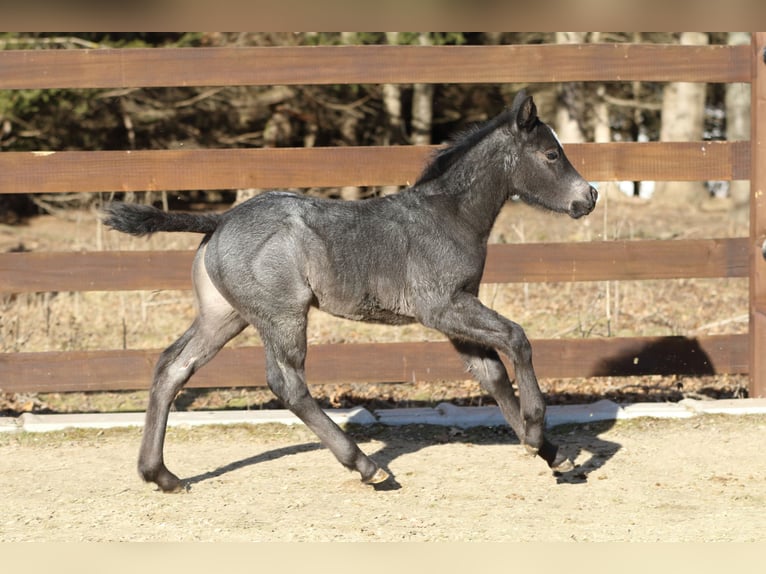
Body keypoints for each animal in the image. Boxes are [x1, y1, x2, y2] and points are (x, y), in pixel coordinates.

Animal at [103, 91, 600, 496]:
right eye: (551, 154)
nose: (589, 197)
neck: (448, 216)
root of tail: (219, 220)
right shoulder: (442, 306)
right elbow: (517, 339)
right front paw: (535, 431)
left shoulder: (456, 311)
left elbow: (491, 375)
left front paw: (553, 454)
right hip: (281, 316)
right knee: (287, 383)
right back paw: (367, 466)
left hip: (223, 316)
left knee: (172, 366)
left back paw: (161, 475)